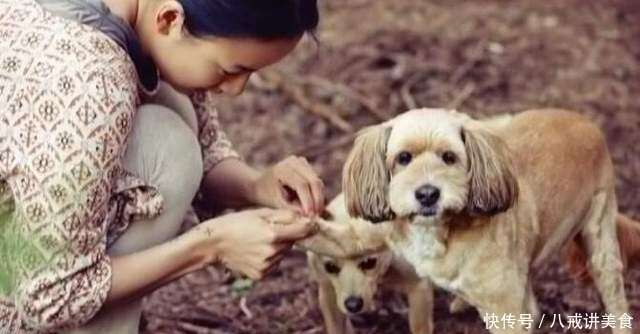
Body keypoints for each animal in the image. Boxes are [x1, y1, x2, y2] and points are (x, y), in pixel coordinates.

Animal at [340, 109, 632, 334]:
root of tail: (585, 122)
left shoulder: (505, 309)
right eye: (403, 158)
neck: (444, 231)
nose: (427, 194)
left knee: (614, 295)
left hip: (600, 234)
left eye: (449, 157)